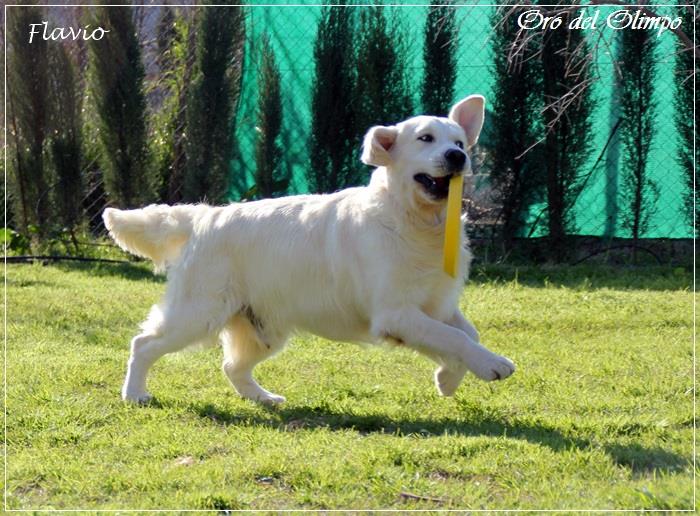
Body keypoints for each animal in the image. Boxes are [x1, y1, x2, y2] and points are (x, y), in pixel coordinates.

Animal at [105, 94, 520, 406]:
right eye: (426, 139)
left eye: (459, 142)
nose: (457, 157)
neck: (414, 222)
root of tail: (204, 216)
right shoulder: (396, 313)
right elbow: (456, 338)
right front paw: (491, 365)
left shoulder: (434, 306)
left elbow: (465, 335)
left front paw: (448, 378)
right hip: (197, 313)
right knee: (143, 344)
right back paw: (134, 393)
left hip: (263, 328)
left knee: (231, 367)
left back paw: (263, 398)